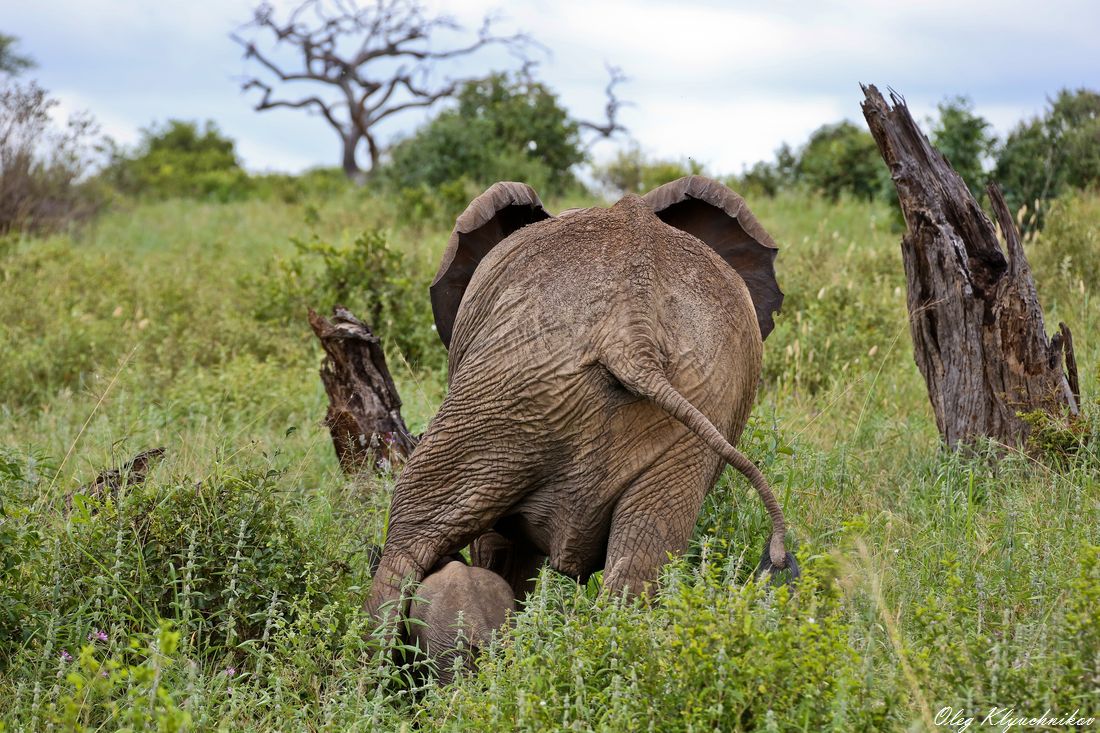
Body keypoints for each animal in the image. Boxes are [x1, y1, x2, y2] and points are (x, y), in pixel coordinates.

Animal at [365, 173, 796, 620]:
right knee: (643, 557)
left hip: (514, 385)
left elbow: (498, 545)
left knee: (411, 526)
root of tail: (633, 327)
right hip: (692, 392)